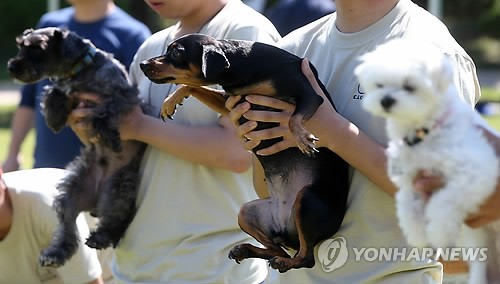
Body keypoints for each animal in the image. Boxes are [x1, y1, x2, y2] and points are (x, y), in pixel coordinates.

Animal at [7, 27, 146, 268]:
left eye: (37, 48)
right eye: (20, 45)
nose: (12, 66)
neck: (81, 71)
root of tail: (96, 201)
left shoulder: (123, 96)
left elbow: (104, 113)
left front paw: (110, 136)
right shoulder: (68, 93)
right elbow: (53, 91)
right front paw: (54, 116)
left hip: (117, 189)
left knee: (116, 219)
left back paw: (101, 237)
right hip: (70, 195)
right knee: (68, 229)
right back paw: (54, 254)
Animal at [139, 33, 350, 272]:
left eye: (176, 52)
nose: (142, 64)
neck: (242, 66)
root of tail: (285, 227)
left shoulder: (309, 95)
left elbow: (293, 118)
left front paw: (301, 137)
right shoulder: (231, 103)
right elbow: (191, 87)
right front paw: (170, 101)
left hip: (306, 199)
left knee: (305, 258)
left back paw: (285, 262)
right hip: (246, 213)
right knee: (278, 249)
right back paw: (246, 250)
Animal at [354, 38, 498, 284]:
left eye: (410, 87)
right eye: (380, 85)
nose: (386, 100)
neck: (424, 131)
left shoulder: (475, 172)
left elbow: (443, 202)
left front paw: (438, 232)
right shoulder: (412, 180)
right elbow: (407, 207)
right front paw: (418, 234)